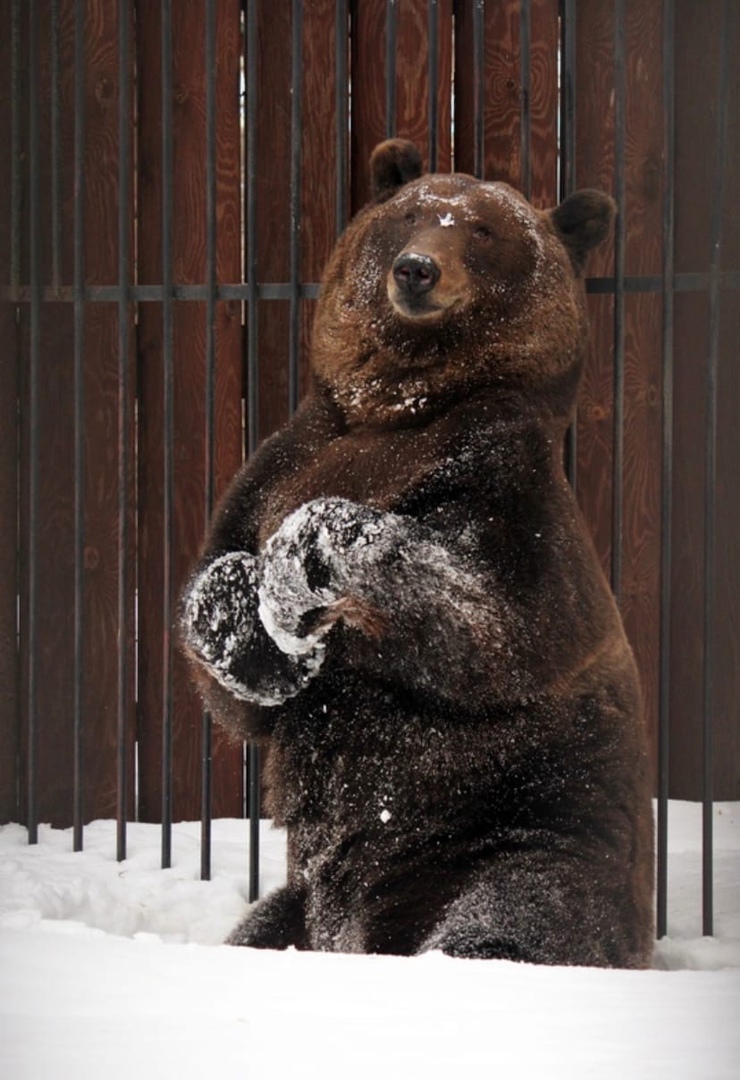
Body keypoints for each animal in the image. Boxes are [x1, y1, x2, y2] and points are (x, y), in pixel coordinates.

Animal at [179, 139, 652, 967]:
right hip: (304, 899)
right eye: (410, 213)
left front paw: (301, 565)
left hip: (523, 829)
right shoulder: (281, 461)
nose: (418, 269)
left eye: (485, 230)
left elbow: (483, 619)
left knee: (516, 916)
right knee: (260, 927)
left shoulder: (503, 480)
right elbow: (237, 685)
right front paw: (255, 616)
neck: (398, 408)